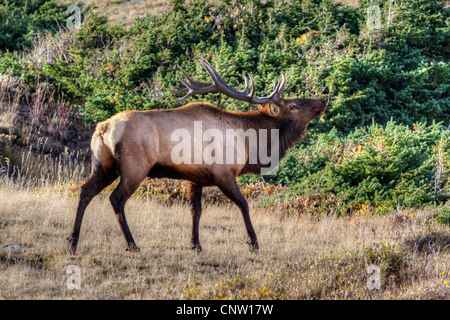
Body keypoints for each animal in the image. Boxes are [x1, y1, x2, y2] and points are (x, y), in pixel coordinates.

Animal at [67, 56, 326, 254]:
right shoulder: (224, 173)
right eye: (293, 106)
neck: (249, 142)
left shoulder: (195, 177)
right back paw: (132, 245)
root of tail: (102, 129)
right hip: (135, 167)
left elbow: (196, 210)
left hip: (104, 166)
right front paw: (253, 242)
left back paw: (72, 241)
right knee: (116, 199)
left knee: (84, 191)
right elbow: (243, 203)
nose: (322, 101)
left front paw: (196, 245)